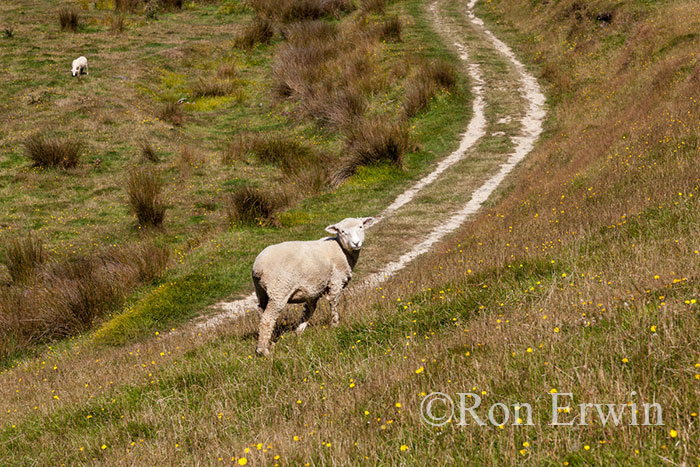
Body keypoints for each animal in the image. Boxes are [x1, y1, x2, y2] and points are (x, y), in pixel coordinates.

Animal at [250, 218, 374, 356]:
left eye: (360, 227)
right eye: (342, 231)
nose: (356, 243)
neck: (341, 249)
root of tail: (258, 267)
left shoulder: (313, 288)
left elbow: (310, 309)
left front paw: (299, 331)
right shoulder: (336, 280)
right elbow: (334, 303)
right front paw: (335, 325)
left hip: (262, 291)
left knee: (261, 313)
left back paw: (269, 342)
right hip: (279, 289)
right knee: (268, 318)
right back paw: (263, 350)